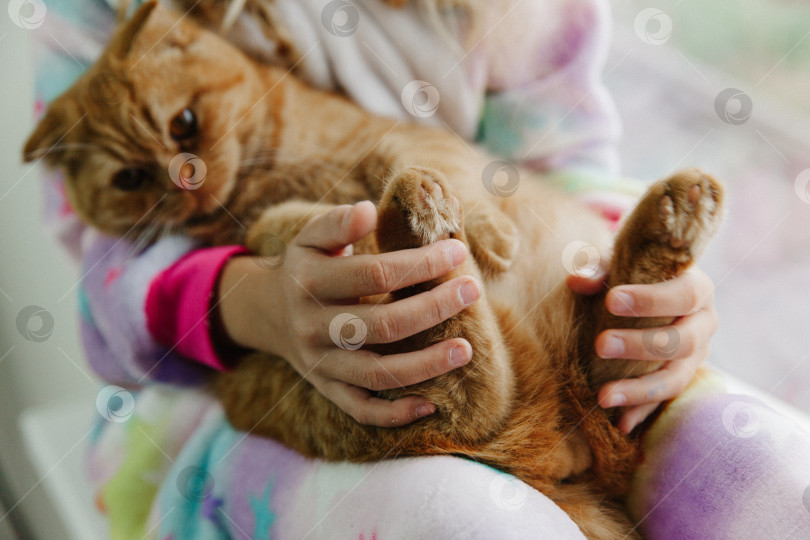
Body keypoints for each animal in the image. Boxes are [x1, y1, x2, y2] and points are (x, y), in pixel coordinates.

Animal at [23, 3, 724, 536]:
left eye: (184, 124)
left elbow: (413, 159)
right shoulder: (244, 229)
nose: (183, 187)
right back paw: (417, 223)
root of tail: (566, 445)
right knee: (477, 386)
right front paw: (331, 226)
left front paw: (484, 231)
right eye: (131, 179)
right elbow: (277, 227)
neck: (271, 171)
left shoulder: (401, 138)